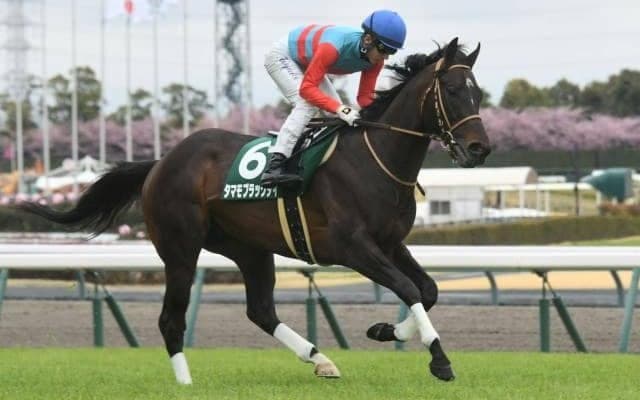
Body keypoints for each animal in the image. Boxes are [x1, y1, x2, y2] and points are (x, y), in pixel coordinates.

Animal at [17, 37, 490, 384]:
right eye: (452, 91)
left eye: (478, 93)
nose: (479, 148)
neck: (374, 159)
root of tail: (161, 162)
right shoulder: (353, 247)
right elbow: (409, 290)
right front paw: (439, 359)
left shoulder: (390, 244)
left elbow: (428, 289)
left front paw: (385, 331)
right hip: (180, 249)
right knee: (171, 318)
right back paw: (186, 383)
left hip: (249, 248)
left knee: (260, 310)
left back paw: (320, 359)